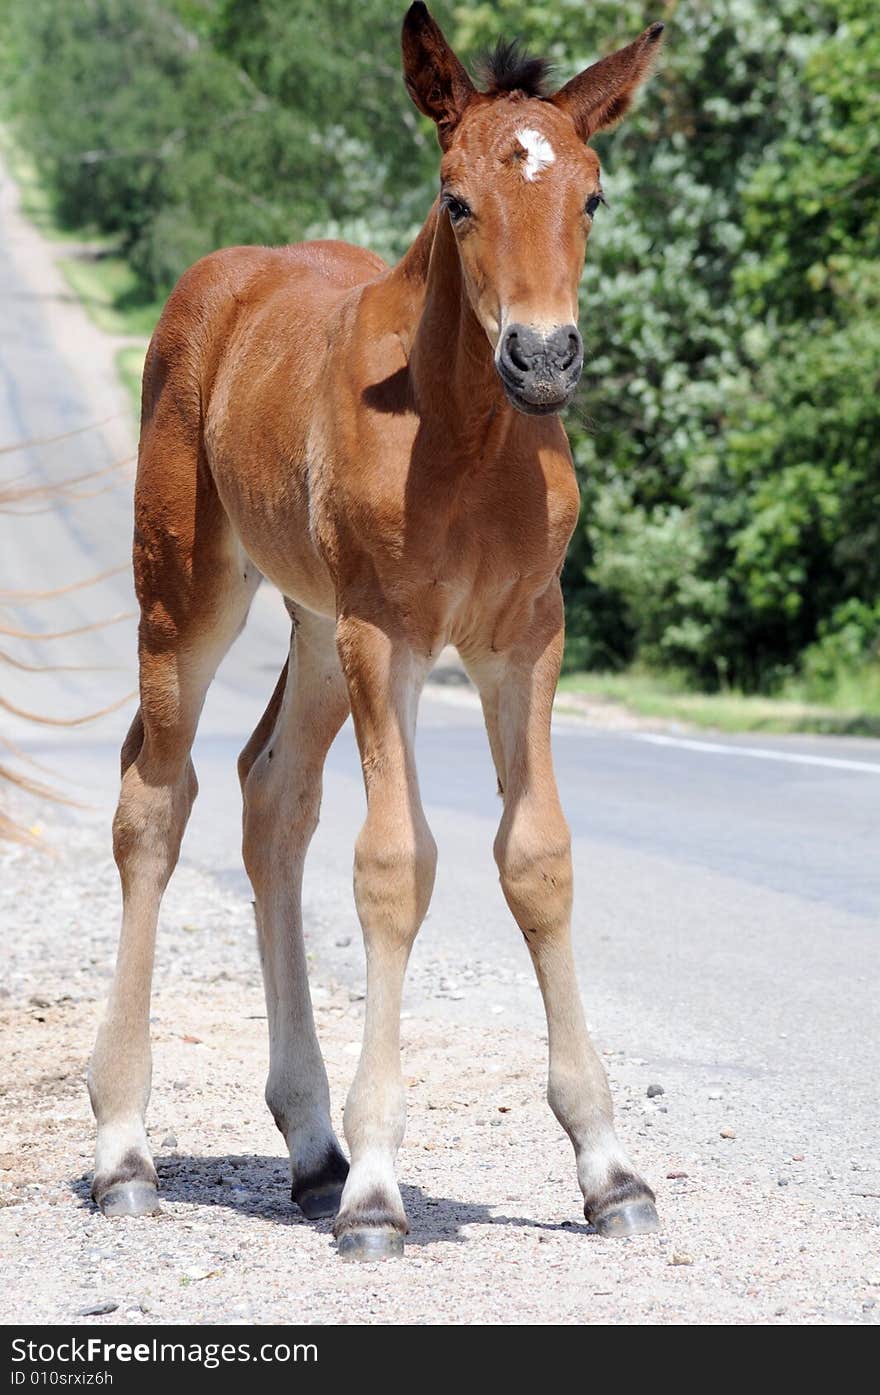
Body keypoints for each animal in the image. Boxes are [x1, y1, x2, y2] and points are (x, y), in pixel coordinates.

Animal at [91, 0, 666, 1261]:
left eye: (594, 196)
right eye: (456, 200)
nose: (542, 357)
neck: (466, 440)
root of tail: (224, 278)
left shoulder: (524, 637)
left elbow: (535, 856)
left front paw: (609, 1172)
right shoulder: (386, 637)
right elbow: (396, 865)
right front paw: (379, 1192)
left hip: (311, 621)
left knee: (270, 794)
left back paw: (310, 1148)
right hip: (193, 593)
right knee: (156, 798)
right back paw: (125, 1149)